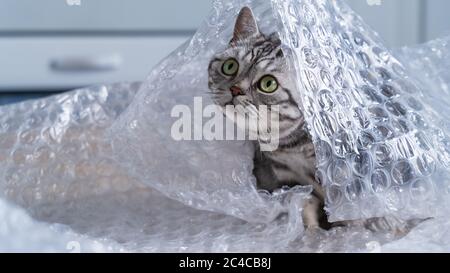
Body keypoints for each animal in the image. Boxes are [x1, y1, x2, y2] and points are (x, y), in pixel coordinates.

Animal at [207, 5, 422, 232]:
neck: (291, 145)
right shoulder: (290, 178)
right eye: (230, 66)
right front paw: (311, 231)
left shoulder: (351, 169)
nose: (235, 89)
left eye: (268, 84)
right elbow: (304, 204)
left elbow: (355, 204)